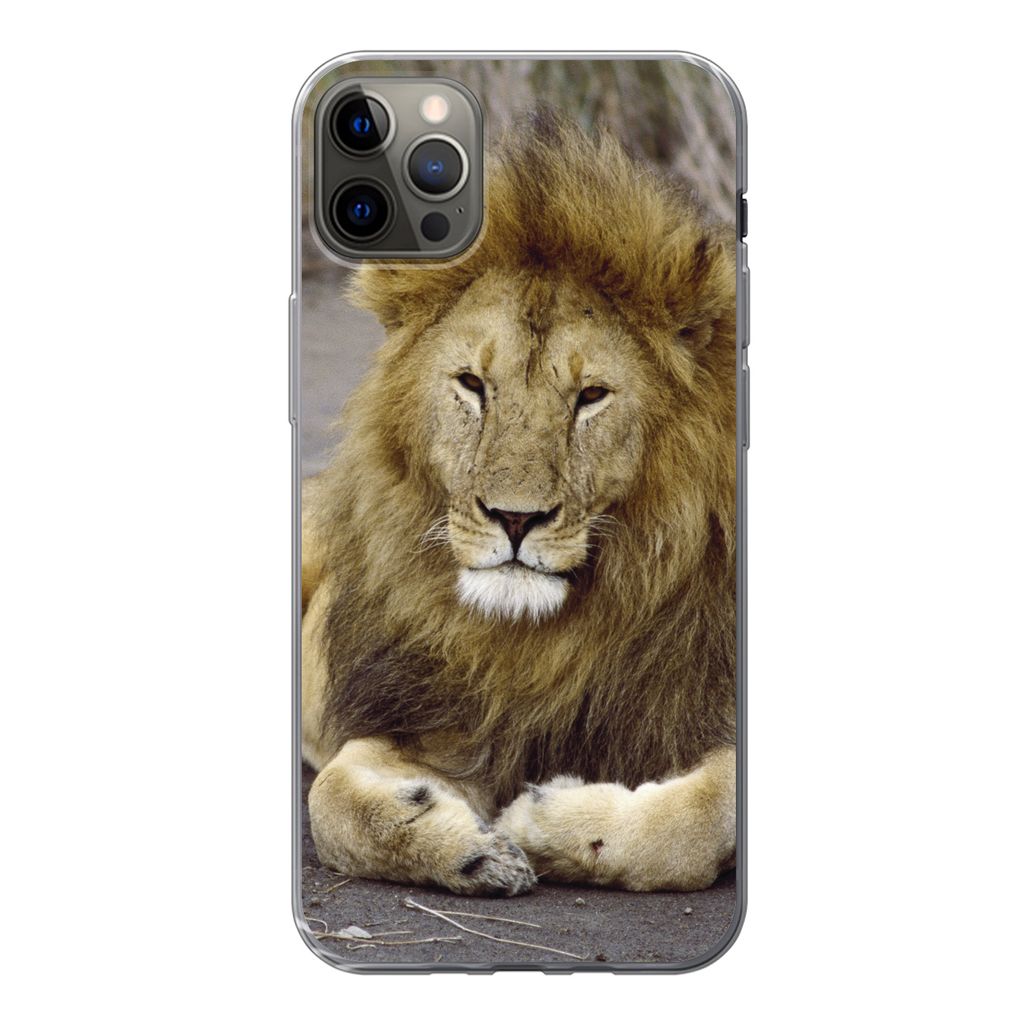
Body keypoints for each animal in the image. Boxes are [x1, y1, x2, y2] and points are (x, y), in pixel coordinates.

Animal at [301, 114, 737, 896]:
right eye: (473, 384)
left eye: (591, 396)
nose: (514, 518)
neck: (536, 644)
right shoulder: (439, 719)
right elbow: (332, 803)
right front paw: (466, 847)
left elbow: (704, 815)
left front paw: (546, 822)